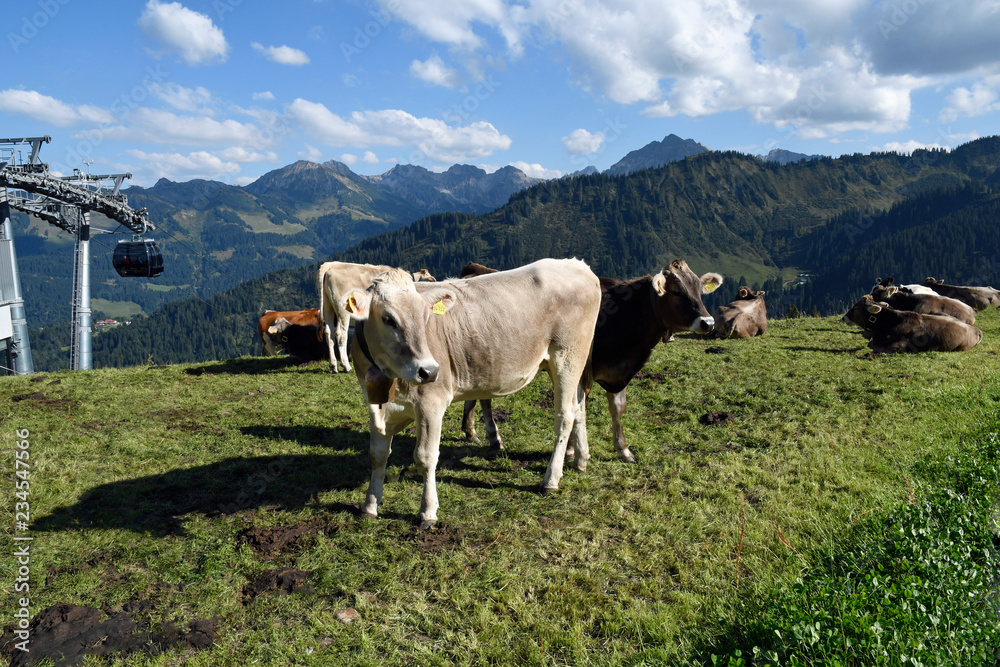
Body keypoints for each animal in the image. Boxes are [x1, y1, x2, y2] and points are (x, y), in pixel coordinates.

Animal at [342, 258, 600, 528]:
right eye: (388, 318)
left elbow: (425, 457)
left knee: (564, 416)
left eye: (425, 316)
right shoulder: (375, 406)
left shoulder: (431, 403)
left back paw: (550, 480)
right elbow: (377, 455)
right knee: (579, 407)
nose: (429, 371)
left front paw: (428, 511)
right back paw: (581, 459)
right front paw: (370, 505)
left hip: (567, 357)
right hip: (569, 363)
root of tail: (576, 264)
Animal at [458, 260, 724, 464]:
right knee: (486, 399)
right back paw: (493, 438)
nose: (708, 323)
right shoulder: (582, 369)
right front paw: (571, 452)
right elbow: (577, 408)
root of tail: (474, 269)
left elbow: (618, 408)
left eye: (700, 290)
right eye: (677, 292)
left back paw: (472, 432)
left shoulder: (617, 372)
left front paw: (623, 450)